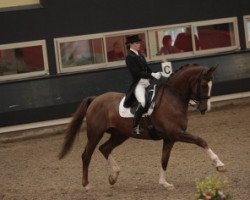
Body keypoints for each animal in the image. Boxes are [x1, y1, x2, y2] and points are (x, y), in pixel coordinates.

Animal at [59, 63, 227, 191]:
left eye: (211, 85)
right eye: (204, 85)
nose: (204, 108)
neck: (173, 98)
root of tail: (95, 99)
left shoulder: (169, 138)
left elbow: (164, 159)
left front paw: (164, 183)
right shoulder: (176, 133)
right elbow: (201, 141)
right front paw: (219, 164)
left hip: (120, 134)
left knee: (104, 148)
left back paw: (114, 176)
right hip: (95, 133)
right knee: (86, 155)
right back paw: (87, 185)